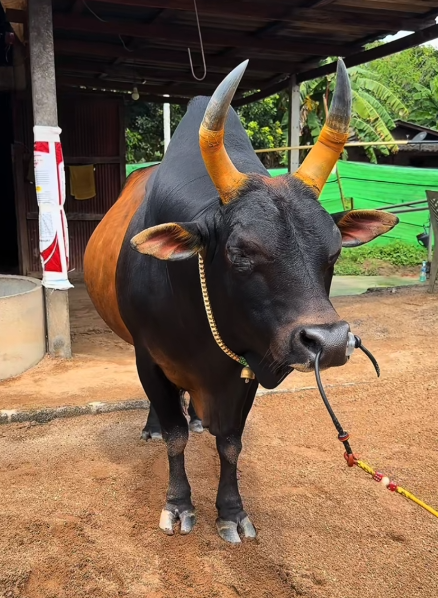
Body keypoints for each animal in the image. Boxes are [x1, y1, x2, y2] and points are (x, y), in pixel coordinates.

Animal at [84, 59, 398, 544]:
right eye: (239, 252)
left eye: (335, 252)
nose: (329, 342)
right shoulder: (148, 358)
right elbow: (175, 437)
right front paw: (178, 505)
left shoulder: (249, 365)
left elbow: (230, 442)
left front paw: (231, 511)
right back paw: (156, 426)